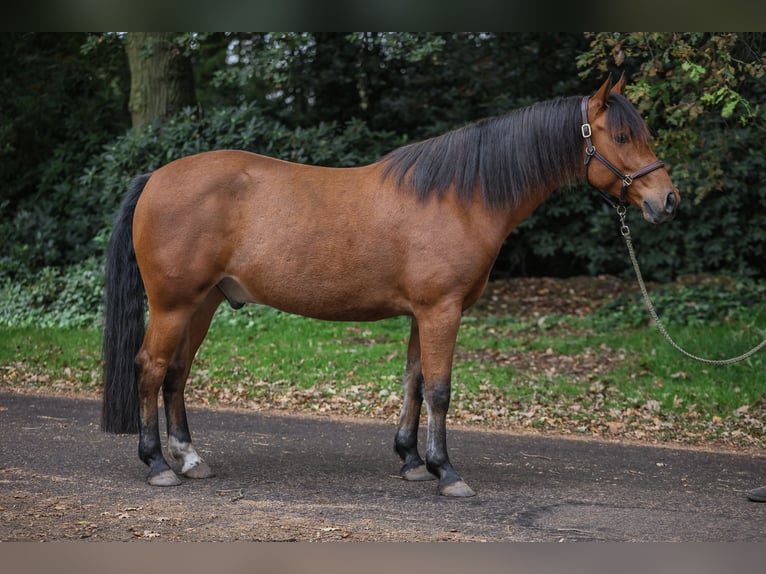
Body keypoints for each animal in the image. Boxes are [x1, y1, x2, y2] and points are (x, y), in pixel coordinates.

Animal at [100, 77, 680, 500]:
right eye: (622, 138)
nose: (668, 201)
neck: (459, 197)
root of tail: (155, 177)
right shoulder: (442, 310)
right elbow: (440, 390)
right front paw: (447, 472)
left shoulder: (424, 313)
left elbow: (414, 383)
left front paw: (412, 461)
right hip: (173, 305)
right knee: (150, 368)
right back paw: (157, 464)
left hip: (203, 304)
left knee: (177, 374)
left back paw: (190, 459)